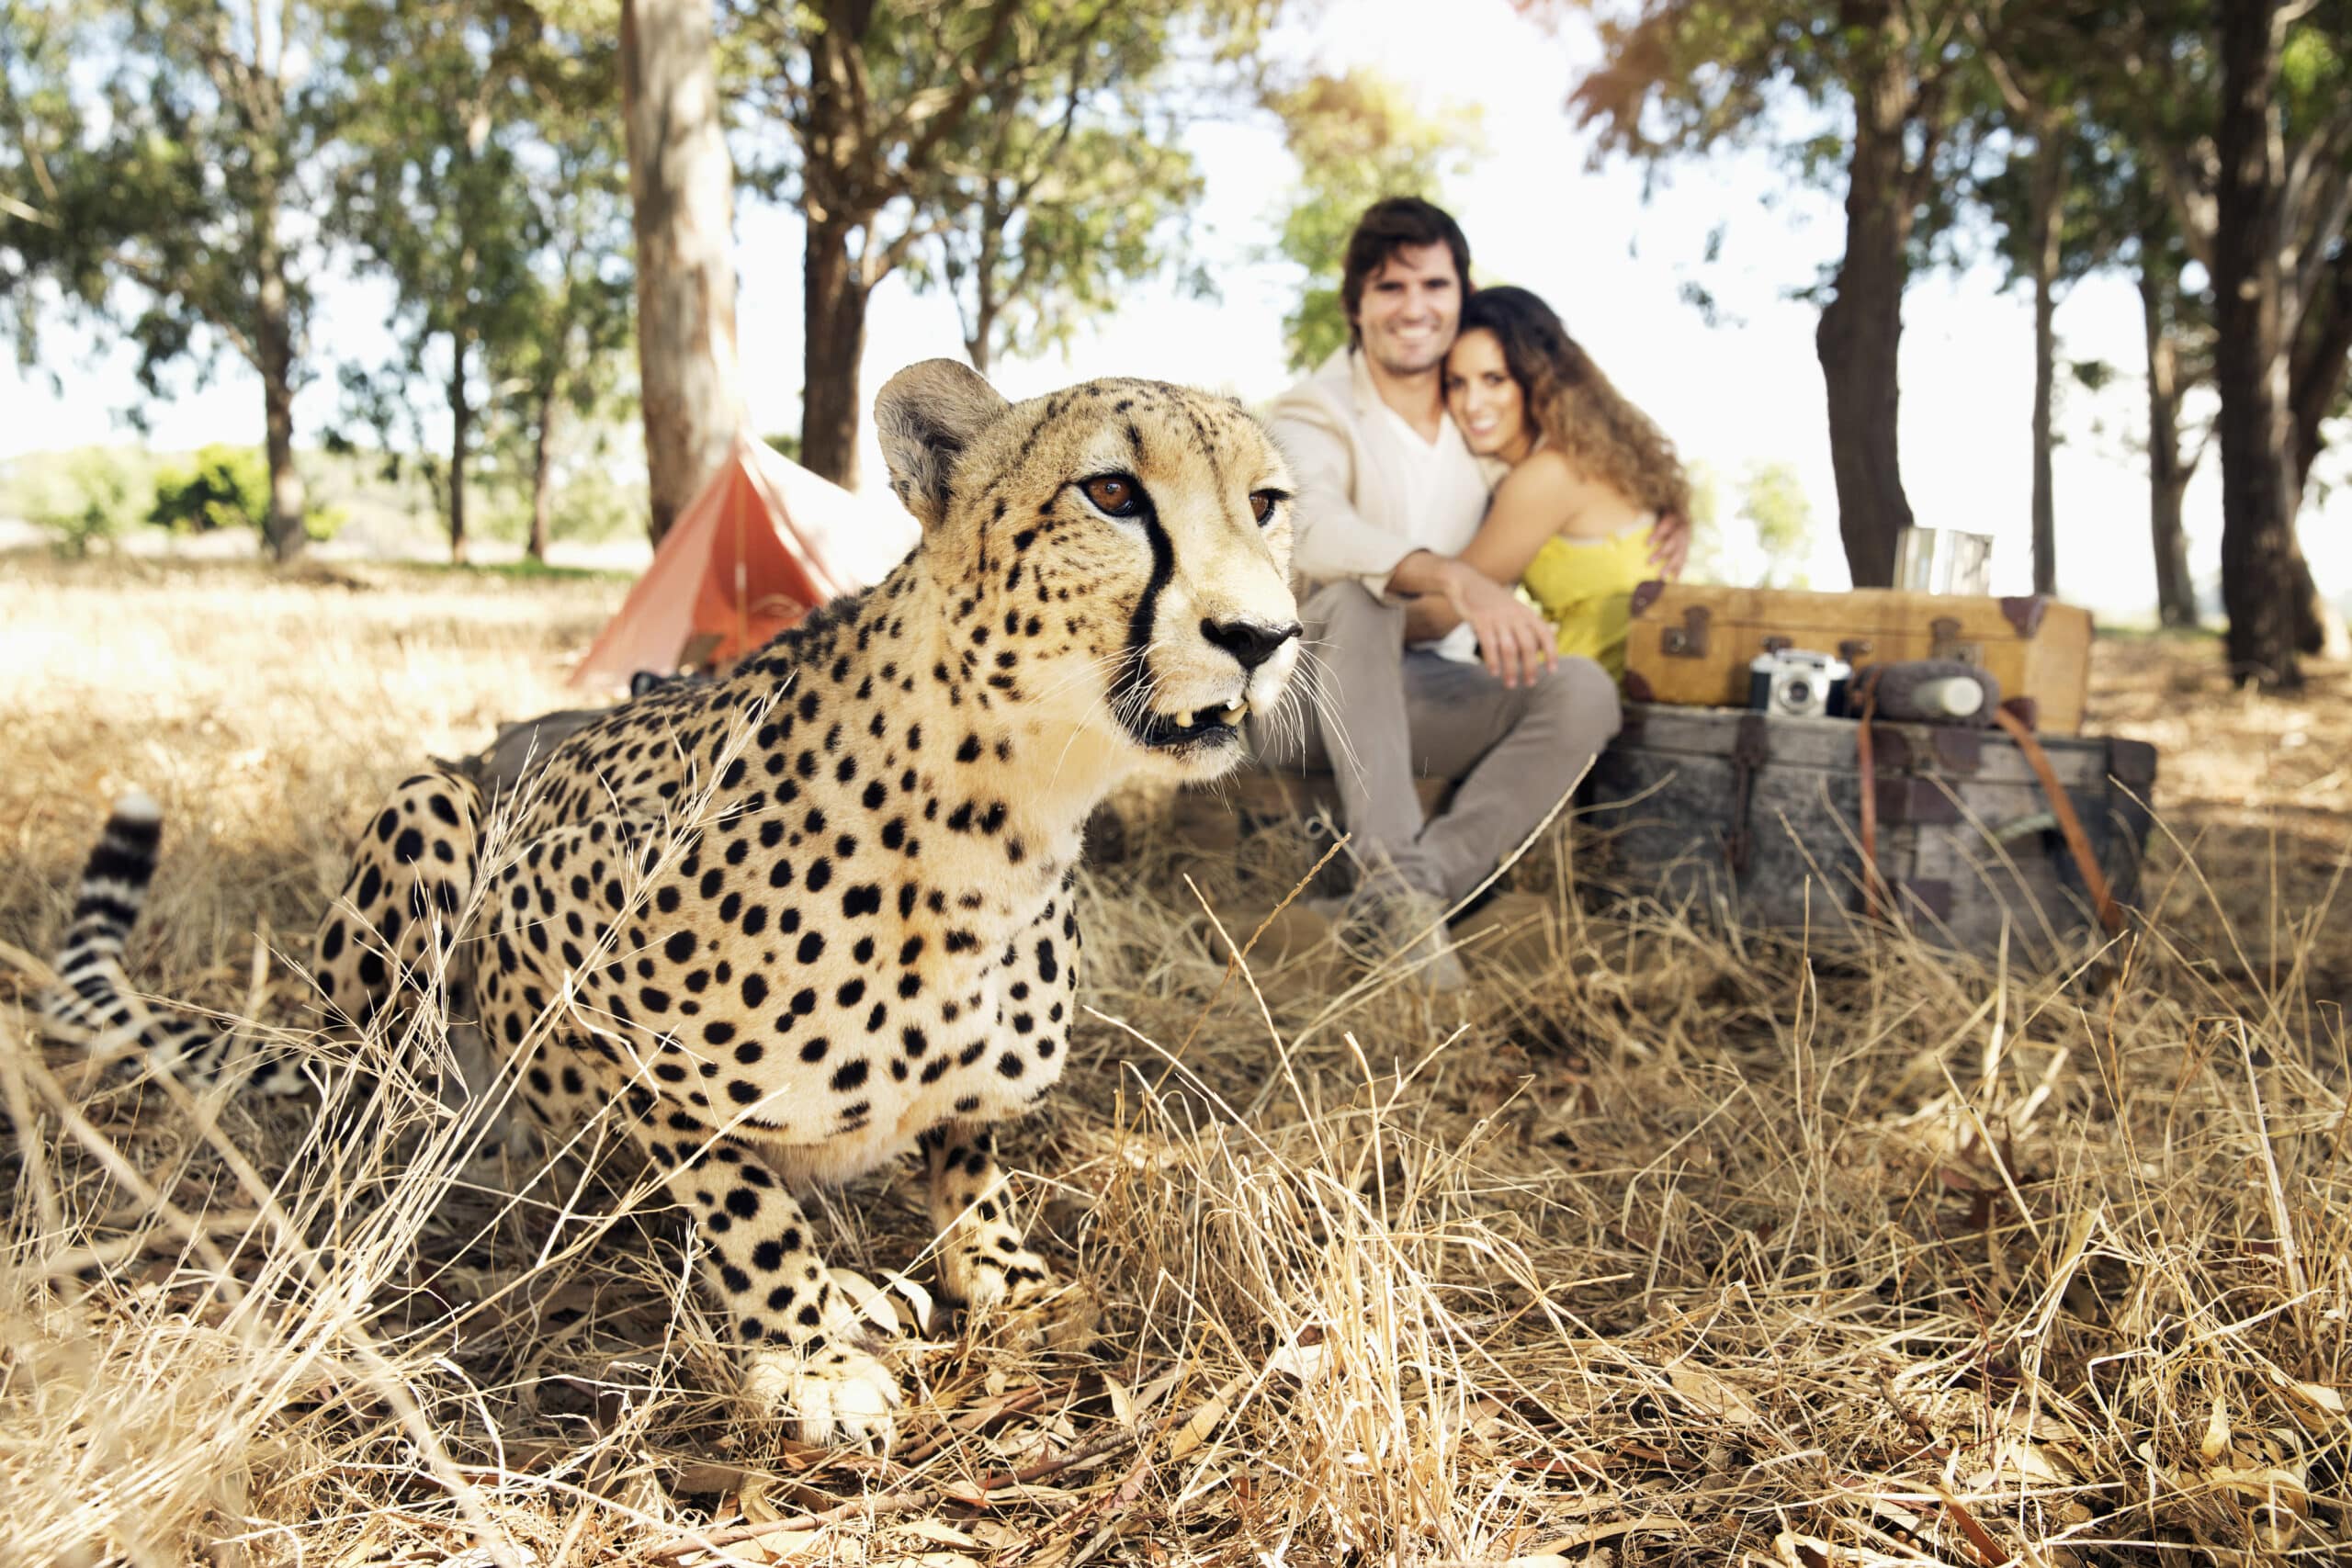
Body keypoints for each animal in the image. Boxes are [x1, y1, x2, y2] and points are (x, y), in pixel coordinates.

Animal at [45, 359, 1307, 1448]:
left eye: (1266, 503)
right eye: (1112, 493)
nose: (1261, 637)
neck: (1016, 807)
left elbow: (965, 1150)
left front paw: (994, 1272)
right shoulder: (570, 960)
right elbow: (736, 1193)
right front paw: (807, 1353)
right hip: (429, 814)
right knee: (386, 1110)